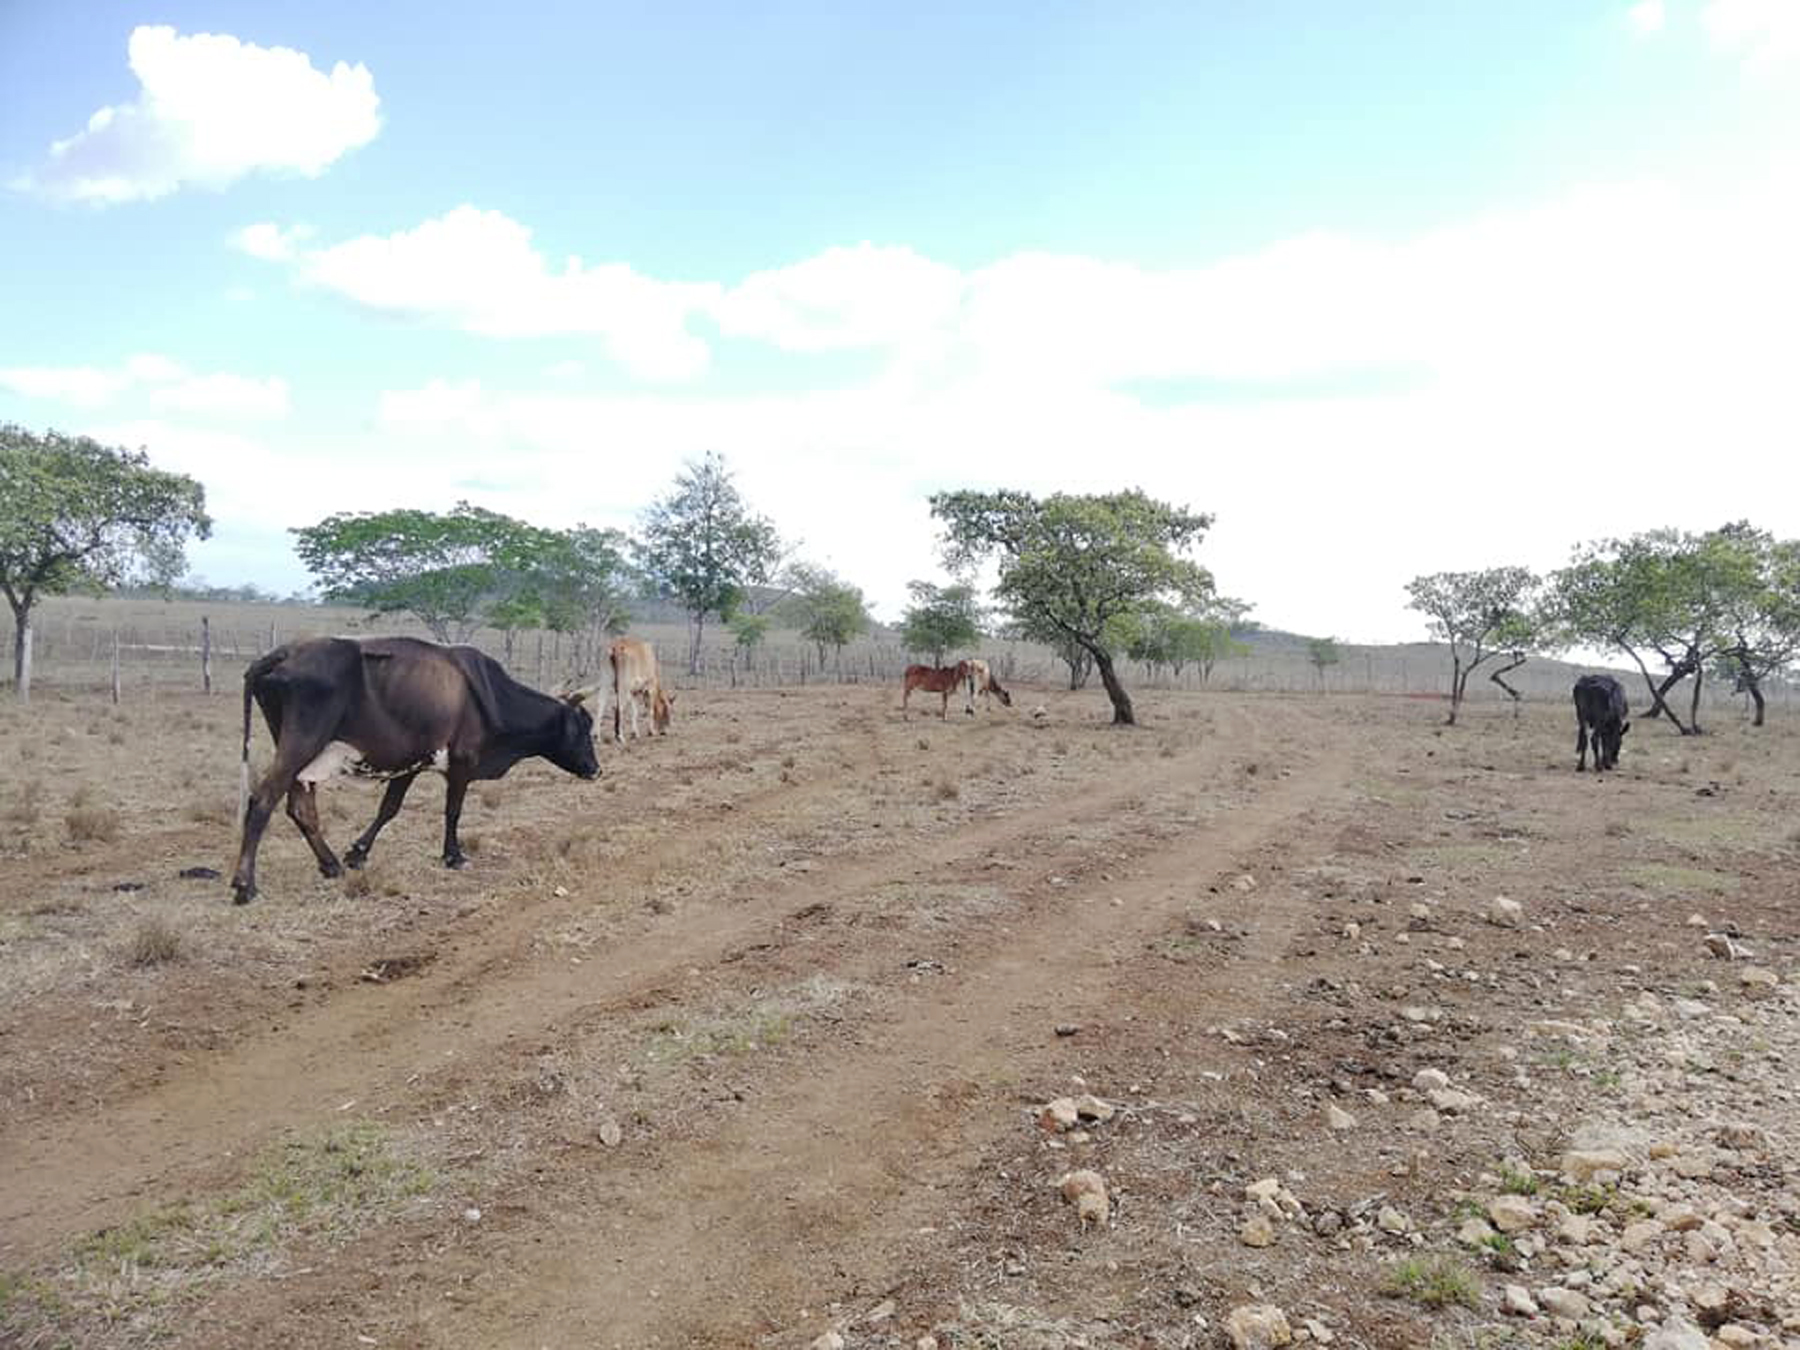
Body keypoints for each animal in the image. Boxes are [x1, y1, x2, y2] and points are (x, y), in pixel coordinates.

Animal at [226, 637, 597, 910]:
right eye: (584, 728)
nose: (596, 769)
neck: (492, 697)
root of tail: (284, 653)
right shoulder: (462, 765)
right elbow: (452, 811)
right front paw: (453, 856)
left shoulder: (409, 764)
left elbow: (388, 809)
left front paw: (357, 853)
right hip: (301, 744)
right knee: (262, 801)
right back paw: (245, 885)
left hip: (298, 752)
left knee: (301, 808)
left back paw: (330, 865)